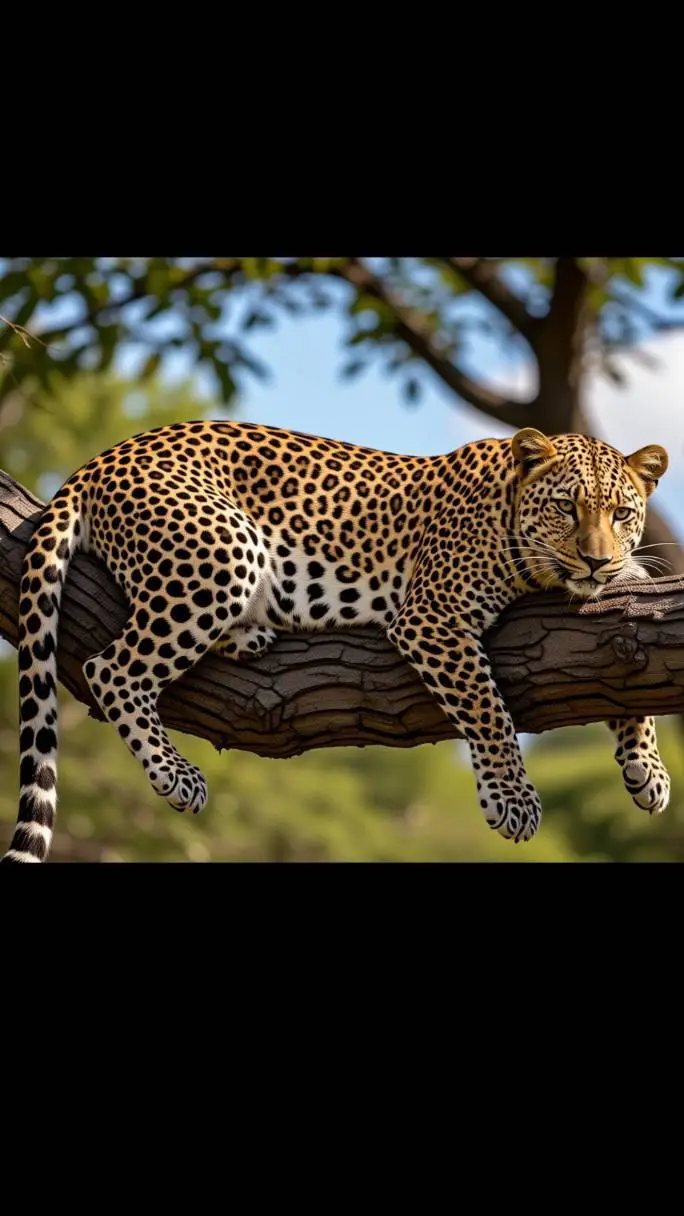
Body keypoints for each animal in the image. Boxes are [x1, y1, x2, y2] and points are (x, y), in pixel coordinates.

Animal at [0, 419, 670, 863]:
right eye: (566, 507)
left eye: (622, 514)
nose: (595, 560)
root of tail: (102, 457)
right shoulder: (432, 612)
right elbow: (488, 708)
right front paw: (513, 798)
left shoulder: (617, 587)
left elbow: (625, 661)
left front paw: (647, 767)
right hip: (225, 551)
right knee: (110, 668)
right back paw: (176, 774)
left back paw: (248, 636)